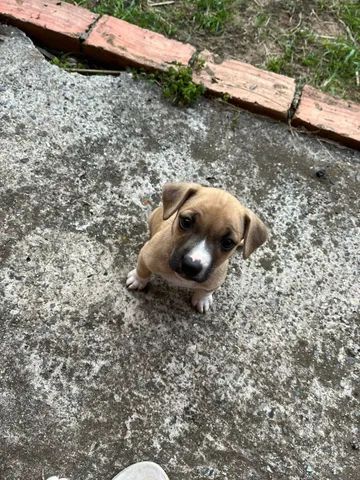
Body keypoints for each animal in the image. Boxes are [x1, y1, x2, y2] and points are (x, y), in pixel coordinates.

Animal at [126, 182, 268, 314]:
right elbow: (143, 270)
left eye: (228, 242)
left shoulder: (217, 278)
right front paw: (137, 280)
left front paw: (202, 299)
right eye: (186, 221)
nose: (191, 266)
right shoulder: (146, 255)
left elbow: (207, 290)